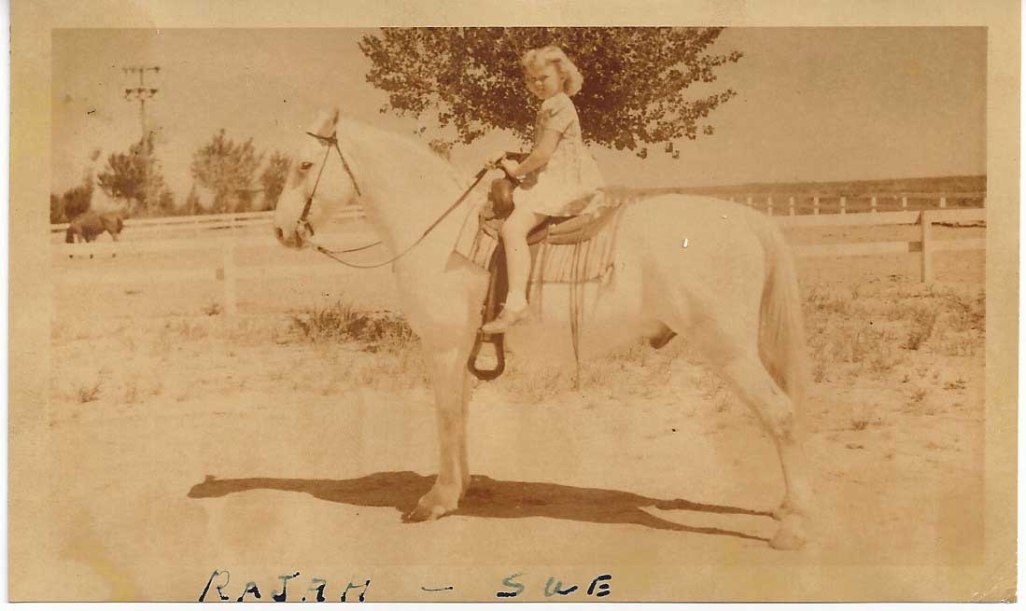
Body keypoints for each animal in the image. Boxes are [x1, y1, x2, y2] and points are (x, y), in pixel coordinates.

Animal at [273, 109, 814, 550]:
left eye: (304, 166)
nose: (280, 229)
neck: (442, 230)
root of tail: (746, 218)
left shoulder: (443, 349)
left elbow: (446, 418)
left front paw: (437, 500)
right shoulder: (460, 352)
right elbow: (460, 415)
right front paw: (461, 489)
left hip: (730, 352)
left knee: (783, 417)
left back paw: (794, 528)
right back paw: (788, 508)